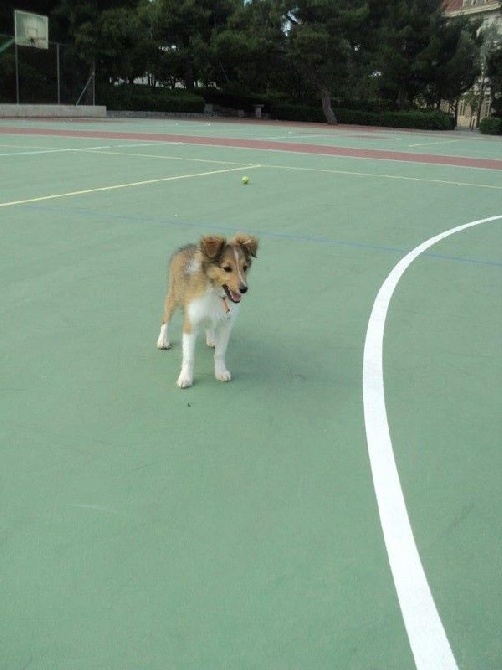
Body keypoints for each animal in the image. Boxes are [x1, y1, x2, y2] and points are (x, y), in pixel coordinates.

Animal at [157, 235, 258, 388]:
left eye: (244, 267)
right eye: (227, 268)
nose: (244, 289)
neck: (215, 291)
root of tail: (186, 247)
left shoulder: (225, 324)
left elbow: (220, 353)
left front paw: (220, 372)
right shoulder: (191, 323)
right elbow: (189, 357)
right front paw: (185, 378)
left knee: (209, 325)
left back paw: (211, 339)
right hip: (174, 296)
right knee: (165, 319)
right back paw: (163, 340)